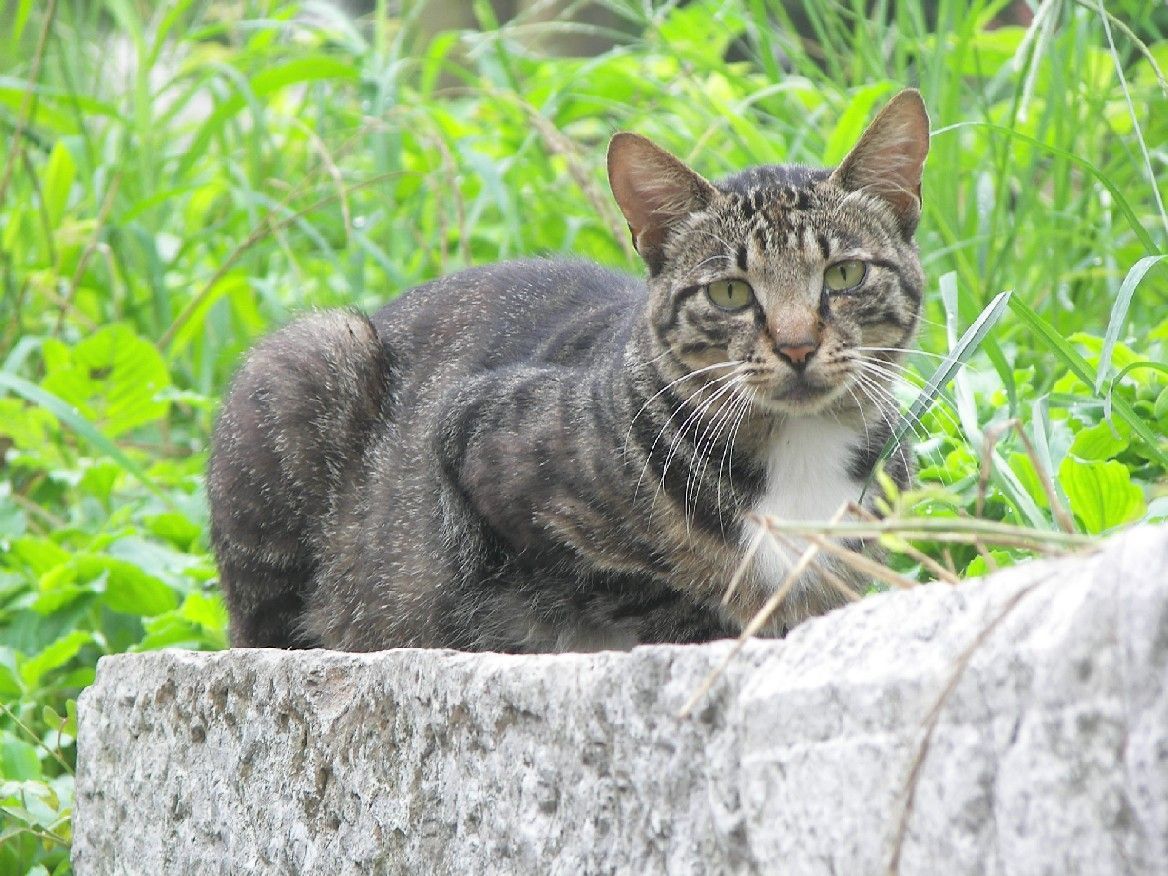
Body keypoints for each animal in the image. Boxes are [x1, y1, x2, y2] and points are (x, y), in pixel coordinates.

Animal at [205, 91, 925, 654]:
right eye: (730, 292)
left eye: (844, 275)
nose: (798, 345)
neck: (798, 451)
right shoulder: (477, 446)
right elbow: (645, 589)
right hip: (311, 356)